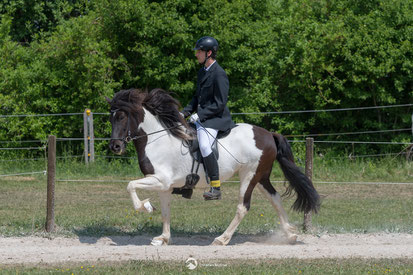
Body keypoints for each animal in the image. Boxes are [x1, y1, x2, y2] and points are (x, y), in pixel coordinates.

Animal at [105, 88, 318, 246]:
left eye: (122, 116)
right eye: (111, 117)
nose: (115, 147)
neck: (157, 140)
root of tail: (269, 135)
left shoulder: (161, 180)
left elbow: (130, 185)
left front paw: (145, 206)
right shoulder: (164, 186)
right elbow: (165, 210)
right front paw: (163, 238)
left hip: (249, 175)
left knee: (243, 207)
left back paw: (222, 239)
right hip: (261, 177)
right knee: (275, 199)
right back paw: (290, 234)